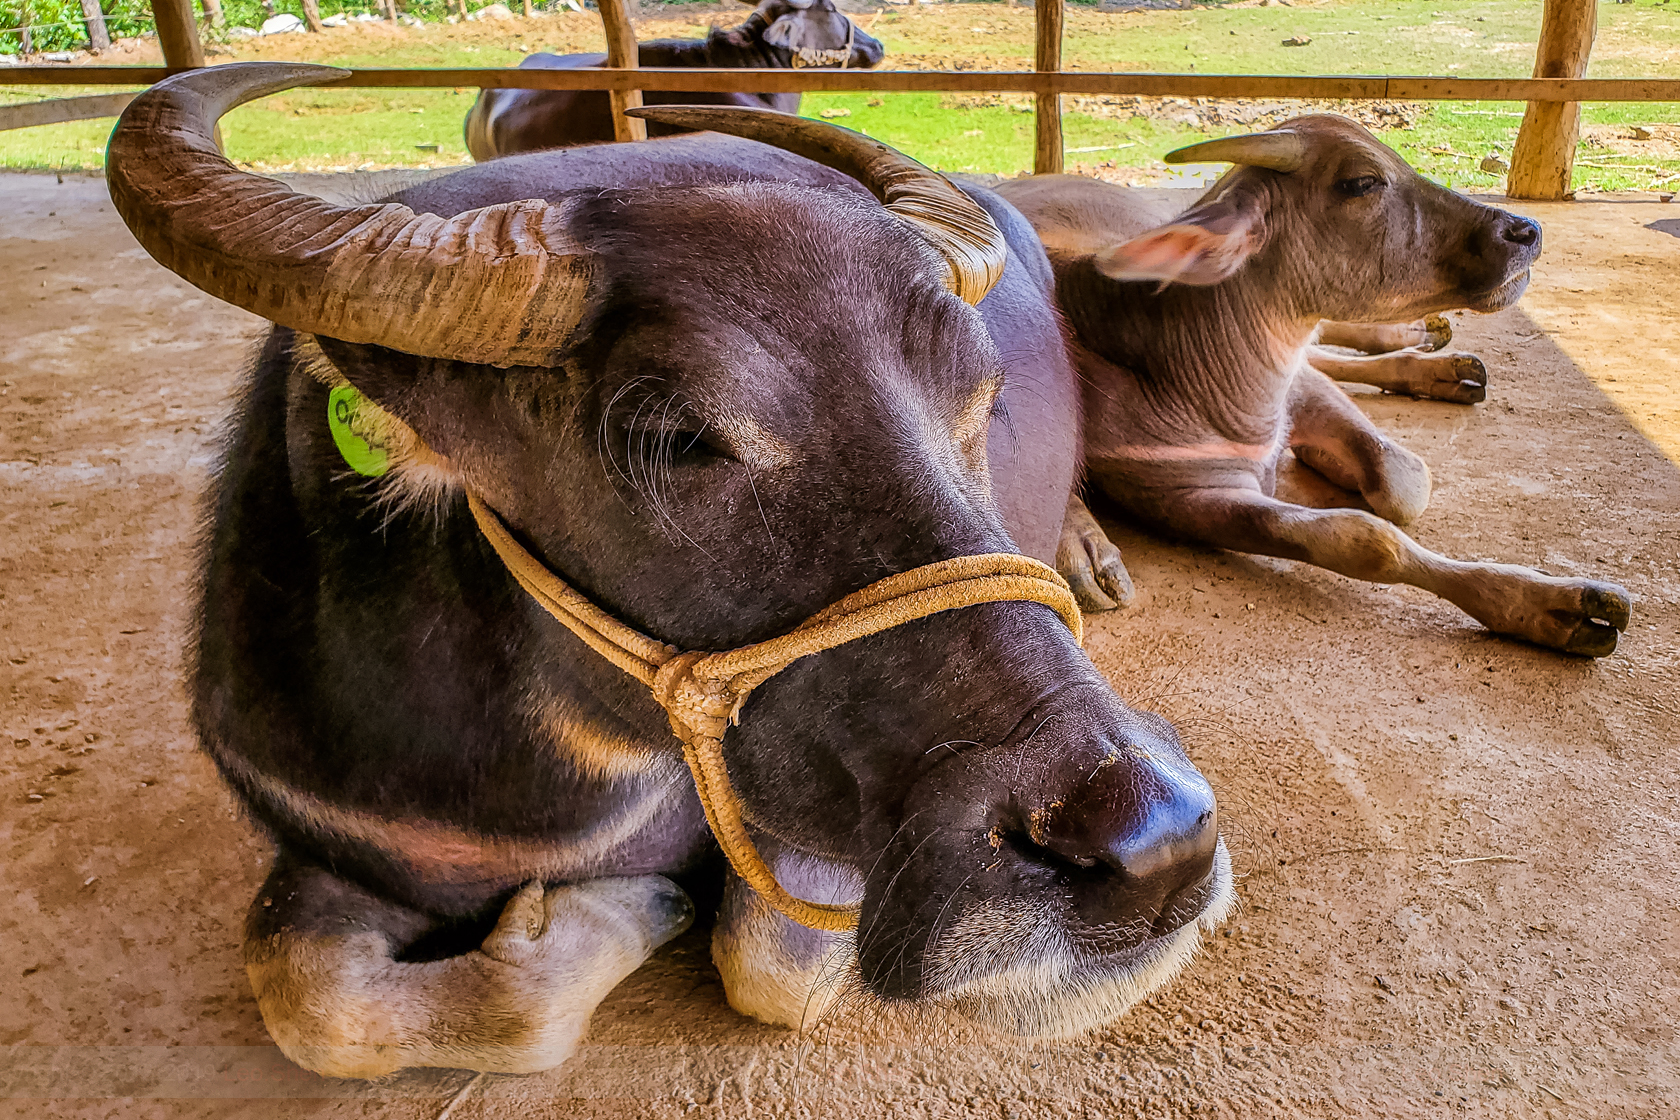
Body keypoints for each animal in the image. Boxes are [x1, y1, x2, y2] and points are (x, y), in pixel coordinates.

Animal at [105, 68, 1236, 1074]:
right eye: (675, 437)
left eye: (981, 392)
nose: (1150, 846)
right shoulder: (333, 842)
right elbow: (311, 997)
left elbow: (771, 970)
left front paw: (641, 904)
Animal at [987, 120, 1632, 658]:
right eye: (1361, 181)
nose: (1525, 230)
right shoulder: (1185, 498)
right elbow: (1364, 537)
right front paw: (1559, 611)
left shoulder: (1301, 385)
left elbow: (1403, 482)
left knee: (1333, 344)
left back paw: (1430, 347)